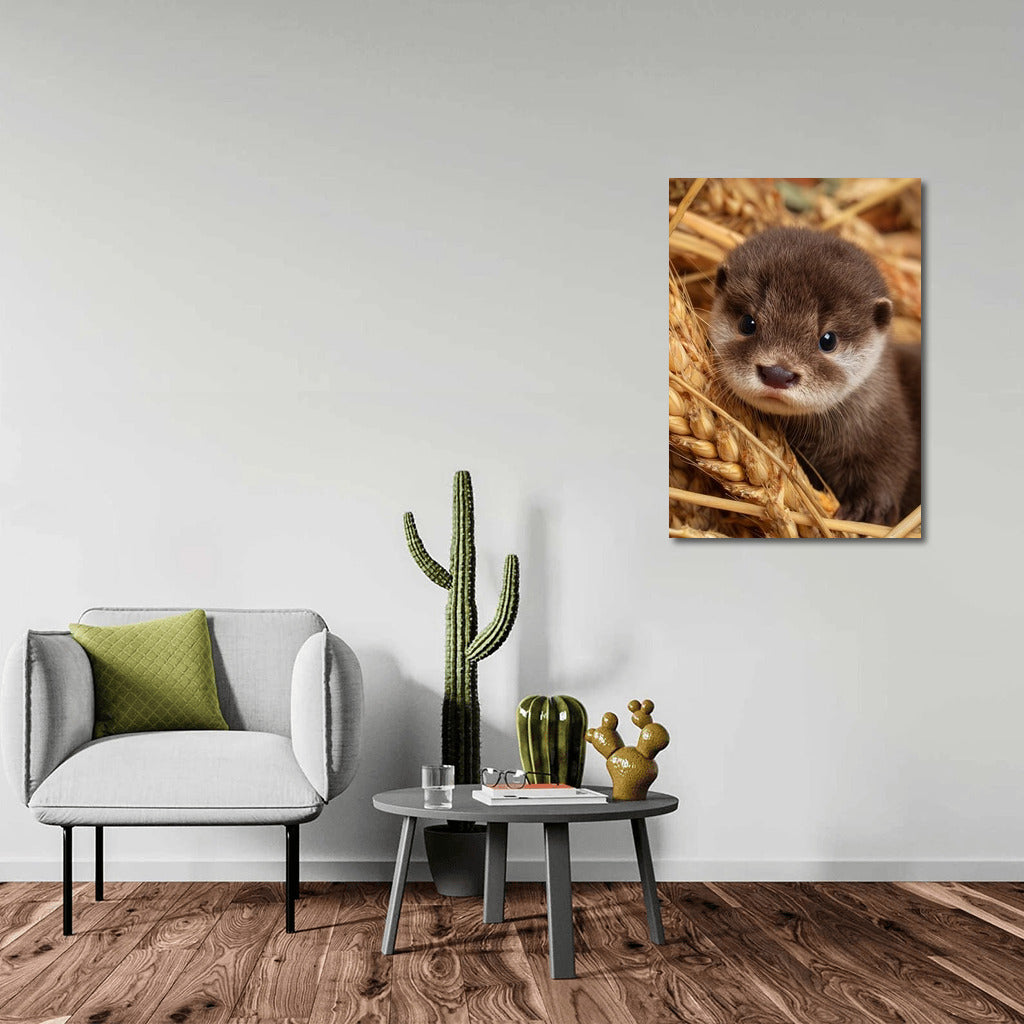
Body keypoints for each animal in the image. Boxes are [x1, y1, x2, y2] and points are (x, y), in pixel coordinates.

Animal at [708, 227, 921, 527]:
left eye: (828, 340)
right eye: (748, 323)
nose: (777, 373)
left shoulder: (888, 432)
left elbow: (888, 466)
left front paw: (867, 507)